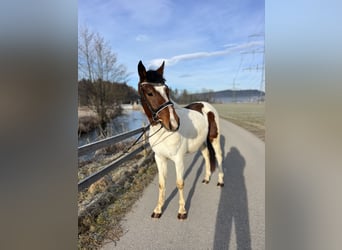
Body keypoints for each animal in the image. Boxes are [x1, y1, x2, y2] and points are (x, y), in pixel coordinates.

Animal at [138, 61, 223, 220]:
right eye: (149, 92)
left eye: (167, 90)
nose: (173, 123)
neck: (163, 132)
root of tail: (206, 105)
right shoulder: (159, 158)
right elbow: (161, 184)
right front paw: (158, 210)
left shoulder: (178, 159)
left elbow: (180, 183)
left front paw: (182, 211)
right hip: (202, 143)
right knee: (207, 156)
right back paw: (207, 178)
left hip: (214, 139)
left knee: (219, 157)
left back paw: (220, 181)